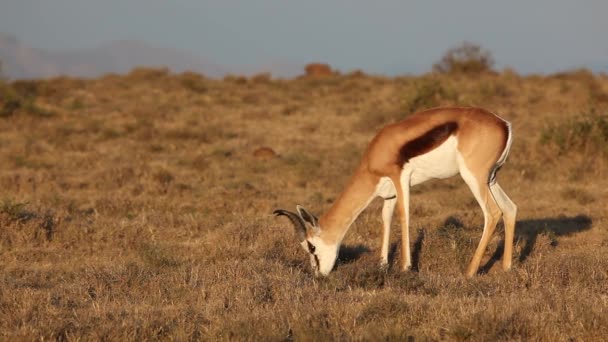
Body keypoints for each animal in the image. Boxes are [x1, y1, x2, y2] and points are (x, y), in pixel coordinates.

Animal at [276, 107, 516, 278]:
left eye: (311, 246)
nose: (318, 275)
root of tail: (503, 124)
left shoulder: (401, 178)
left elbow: (404, 215)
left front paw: (405, 267)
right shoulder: (388, 192)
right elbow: (386, 218)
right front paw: (383, 265)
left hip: (473, 177)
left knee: (492, 212)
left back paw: (470, 271)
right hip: (491, 179)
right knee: (510, 208)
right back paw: (506, 268)